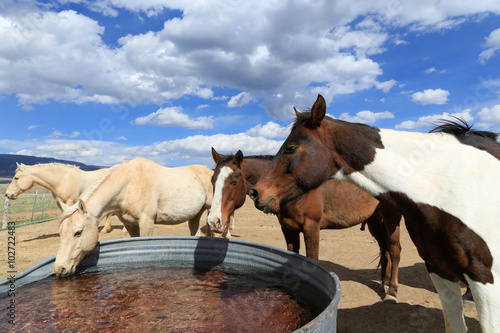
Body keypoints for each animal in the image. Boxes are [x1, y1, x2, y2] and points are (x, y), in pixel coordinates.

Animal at [53, 157, 214, 276]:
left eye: (78, 232)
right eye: (60, 232)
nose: (59, 269)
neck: (128, 184)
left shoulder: (146, 223)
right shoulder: (130, 225)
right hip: (195, 215)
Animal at [207, 148, 402, 300]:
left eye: (233, 181)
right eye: (212, 180)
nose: (213, 220)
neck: (292, 190)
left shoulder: (311, 228)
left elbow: (312, 260)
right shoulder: (288, 229)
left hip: (391, 218)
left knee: (394, 249)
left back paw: (392, 291)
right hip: (375, 221)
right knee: (385, 248)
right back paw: (384, 283)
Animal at [252, 94, 500, 332]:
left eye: (291, 148)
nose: (256, 192)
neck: (444, 183)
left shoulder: (486, 281)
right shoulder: (440, 269)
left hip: (391, 219)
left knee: (394, 249)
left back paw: (392, 290)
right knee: (386, 249)